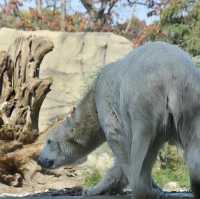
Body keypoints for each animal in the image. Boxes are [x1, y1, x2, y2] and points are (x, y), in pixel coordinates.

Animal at [38, 41, 200, 197]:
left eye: (49, 141)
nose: (40, 159)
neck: (93, 98)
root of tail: (172, 74)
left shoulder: (107, 104)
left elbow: (118, 143)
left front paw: (91, 190)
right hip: (190, 100)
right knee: (193, 144)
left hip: (145, 100)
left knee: (144, 144)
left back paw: (145, 190)